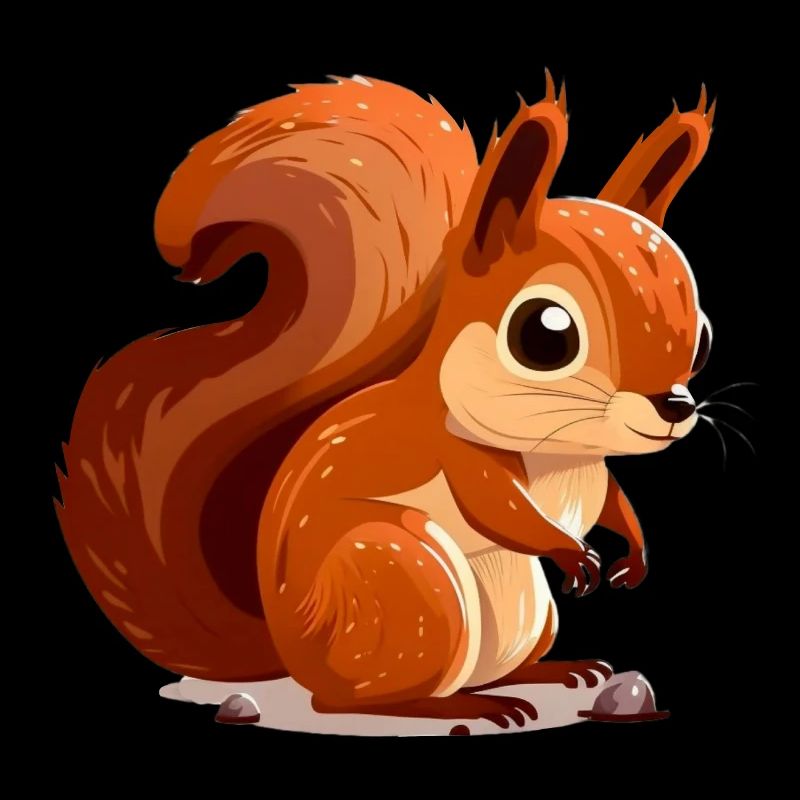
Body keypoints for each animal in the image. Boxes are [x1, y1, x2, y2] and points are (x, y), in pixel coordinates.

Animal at [57, 72, 716, 726]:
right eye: (545, 334)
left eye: (705, 336)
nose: (675, 407)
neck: (561, 450)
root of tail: (291, 652)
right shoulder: (455, 453)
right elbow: (499, 509)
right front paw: (571, 553)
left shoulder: (595, 475)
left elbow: (615, 502)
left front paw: (635, 553)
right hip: (404, 574)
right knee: (351, 700)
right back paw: (462, 707)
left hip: (528, 614)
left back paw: (550, 672)